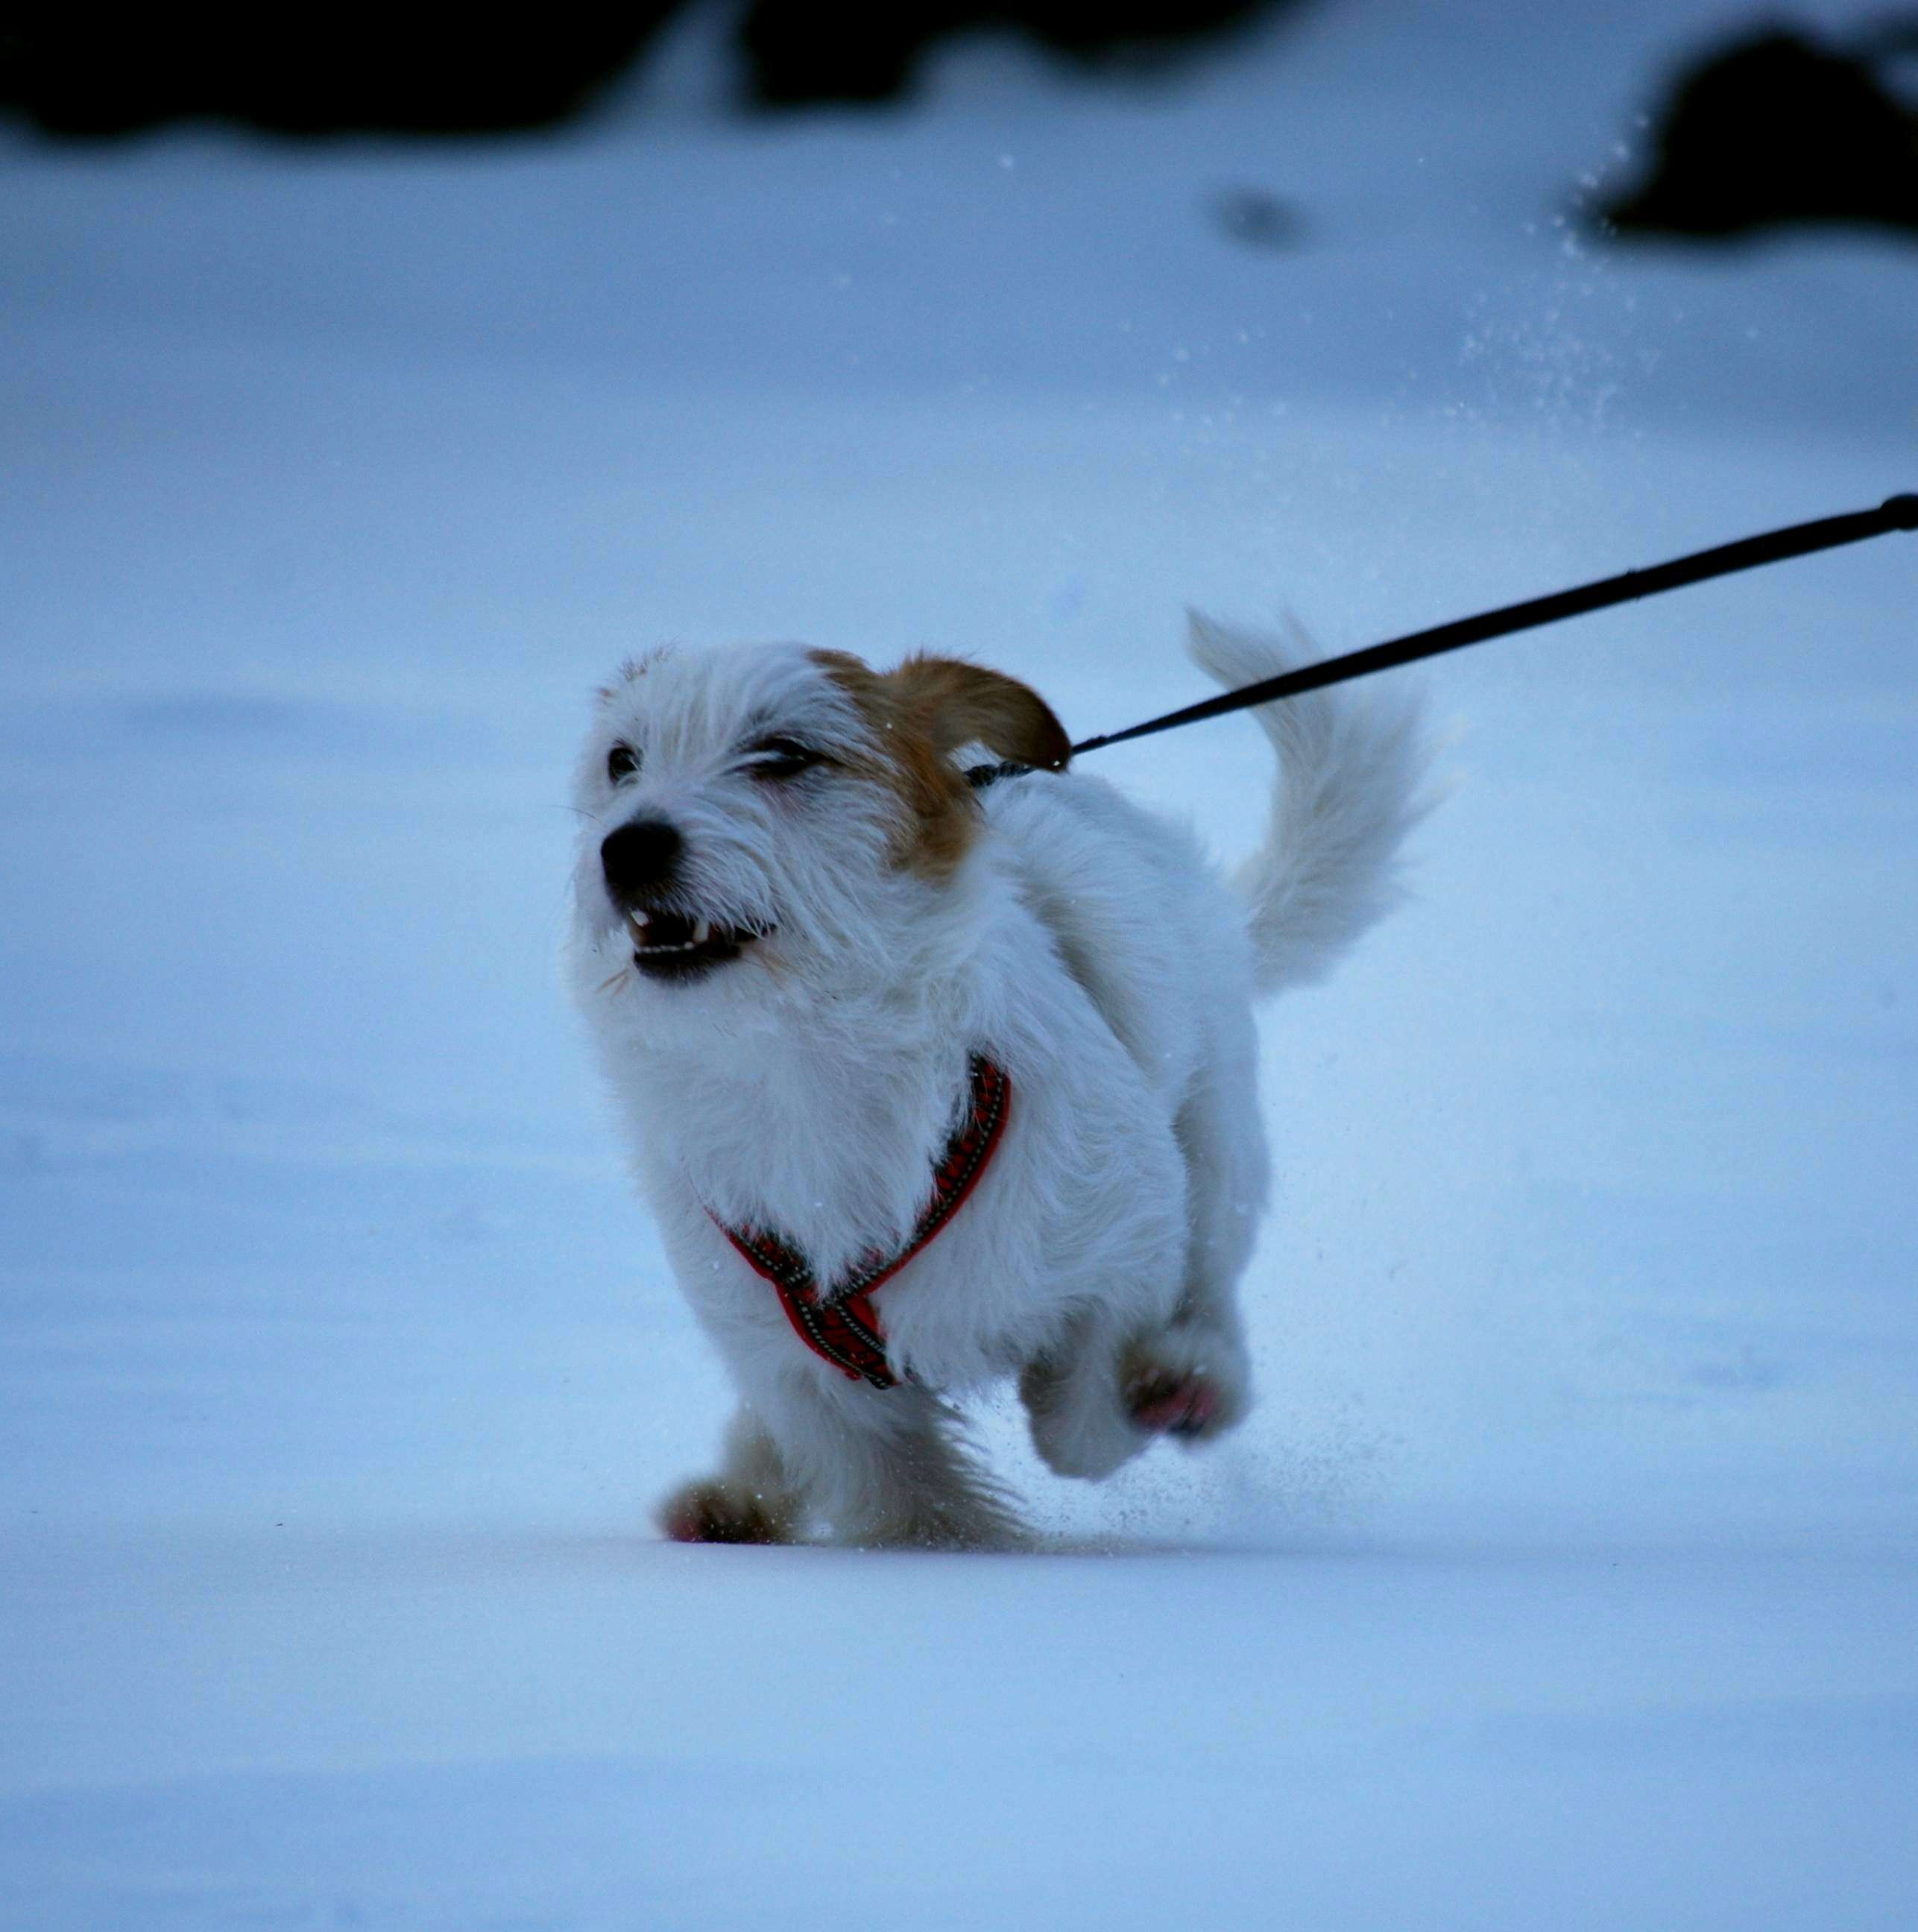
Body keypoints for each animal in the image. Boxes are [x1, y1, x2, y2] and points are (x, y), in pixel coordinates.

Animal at [560, 610, 1429, 1545]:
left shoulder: (1127, 1243)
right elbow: (902, 1501)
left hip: (1216, 1142)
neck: (795, 1062)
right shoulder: (805, 1380)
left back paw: (1196, 1379)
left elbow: (1079, 1426)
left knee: (1209, 1282)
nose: (626, 845)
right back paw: (734, 1495)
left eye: (782, 754)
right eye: (622, 760)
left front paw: (1135, 1393)